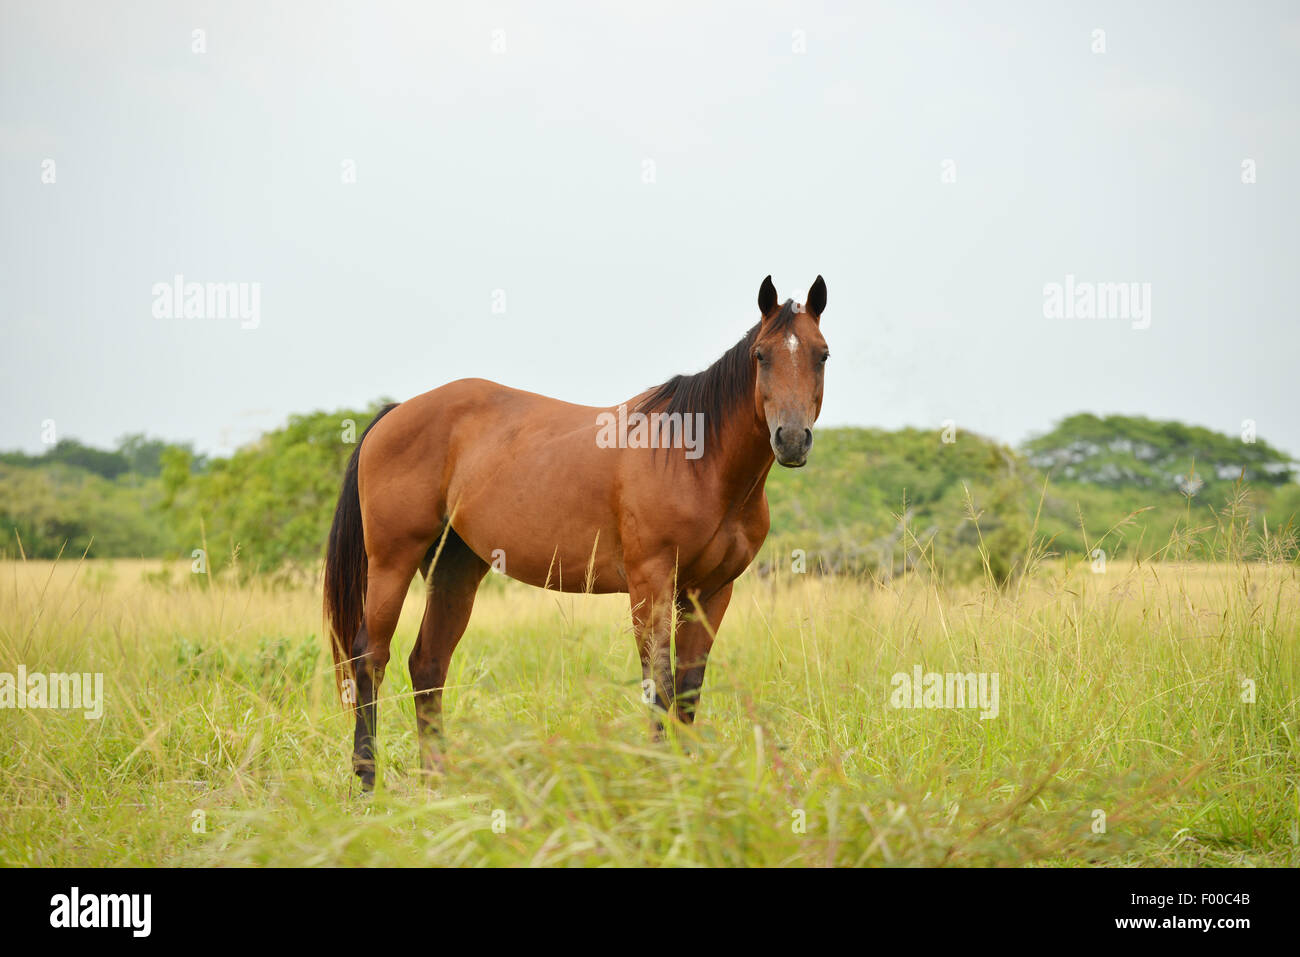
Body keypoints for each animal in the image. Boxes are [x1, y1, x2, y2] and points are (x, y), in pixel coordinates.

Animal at [325, 273, 832, 790]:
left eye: (822, 355)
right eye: (761, 355)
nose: (792, 439)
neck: (695, 460)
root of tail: (396, 412)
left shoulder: (710, 592)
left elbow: (689, 689)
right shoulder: (650, 583)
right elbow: (659, 683)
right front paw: (659, 778)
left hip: (455, 568)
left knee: (427, 663)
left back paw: (439, 783)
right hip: (392, 560)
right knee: (370, 658)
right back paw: (367, 781)